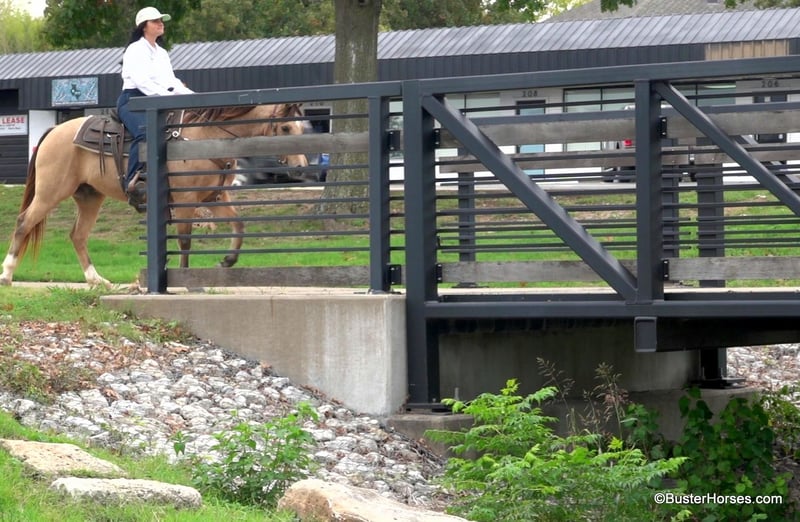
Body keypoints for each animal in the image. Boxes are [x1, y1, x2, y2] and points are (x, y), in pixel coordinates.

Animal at [0, 102, 308, 288]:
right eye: (285, 127)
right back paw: (7, 274)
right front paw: (185, 277)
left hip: (89, 197)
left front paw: (228, 261)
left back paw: (97, 280)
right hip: (51, 192)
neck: (203, 137)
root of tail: (54, 130)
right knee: (24, 223)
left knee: (77, 235)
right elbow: (184, 240)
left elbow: (239, 225)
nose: (302, 166)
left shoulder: (215, 197)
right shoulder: (186, 201)